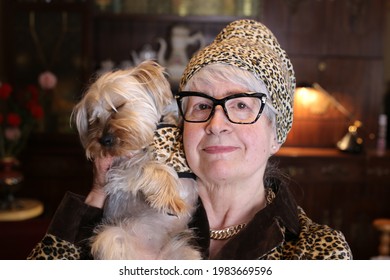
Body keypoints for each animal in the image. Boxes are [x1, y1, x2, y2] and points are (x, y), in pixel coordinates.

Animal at [71, 60, 201, 260]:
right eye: (95, 121)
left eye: (119, 106)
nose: (104, 141)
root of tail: (152, 257)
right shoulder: (119, 168)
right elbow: (152, 166)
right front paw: (171, 197)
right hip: (112, 236)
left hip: (185, 252)